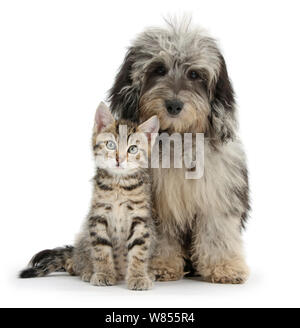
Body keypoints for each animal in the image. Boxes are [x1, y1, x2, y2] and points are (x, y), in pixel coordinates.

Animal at [109, 20, 250, 284]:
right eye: (158, 69)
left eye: (194, 74)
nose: (174, 105)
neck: (177, 137)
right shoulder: (157, 204)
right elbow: (160, 236)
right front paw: (160, 266)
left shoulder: (217, 196)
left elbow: (218, 231)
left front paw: (224, 266)